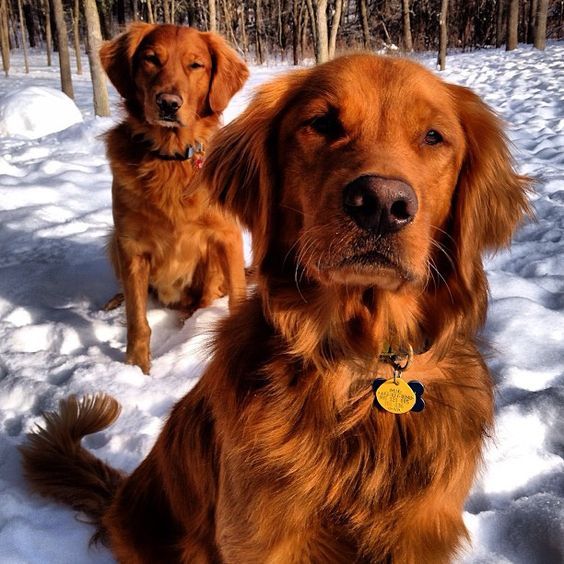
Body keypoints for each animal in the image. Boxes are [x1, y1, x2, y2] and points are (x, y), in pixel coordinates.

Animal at [99, 23, 249, 374]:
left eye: (195, 65)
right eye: (151, 59)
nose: (168, 103)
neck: (170, 158)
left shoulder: (227, 235)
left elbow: (236, 297)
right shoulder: (130, 245)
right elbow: (138, 320)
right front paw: (136, 368)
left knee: (204, 299)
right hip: (113, 240)